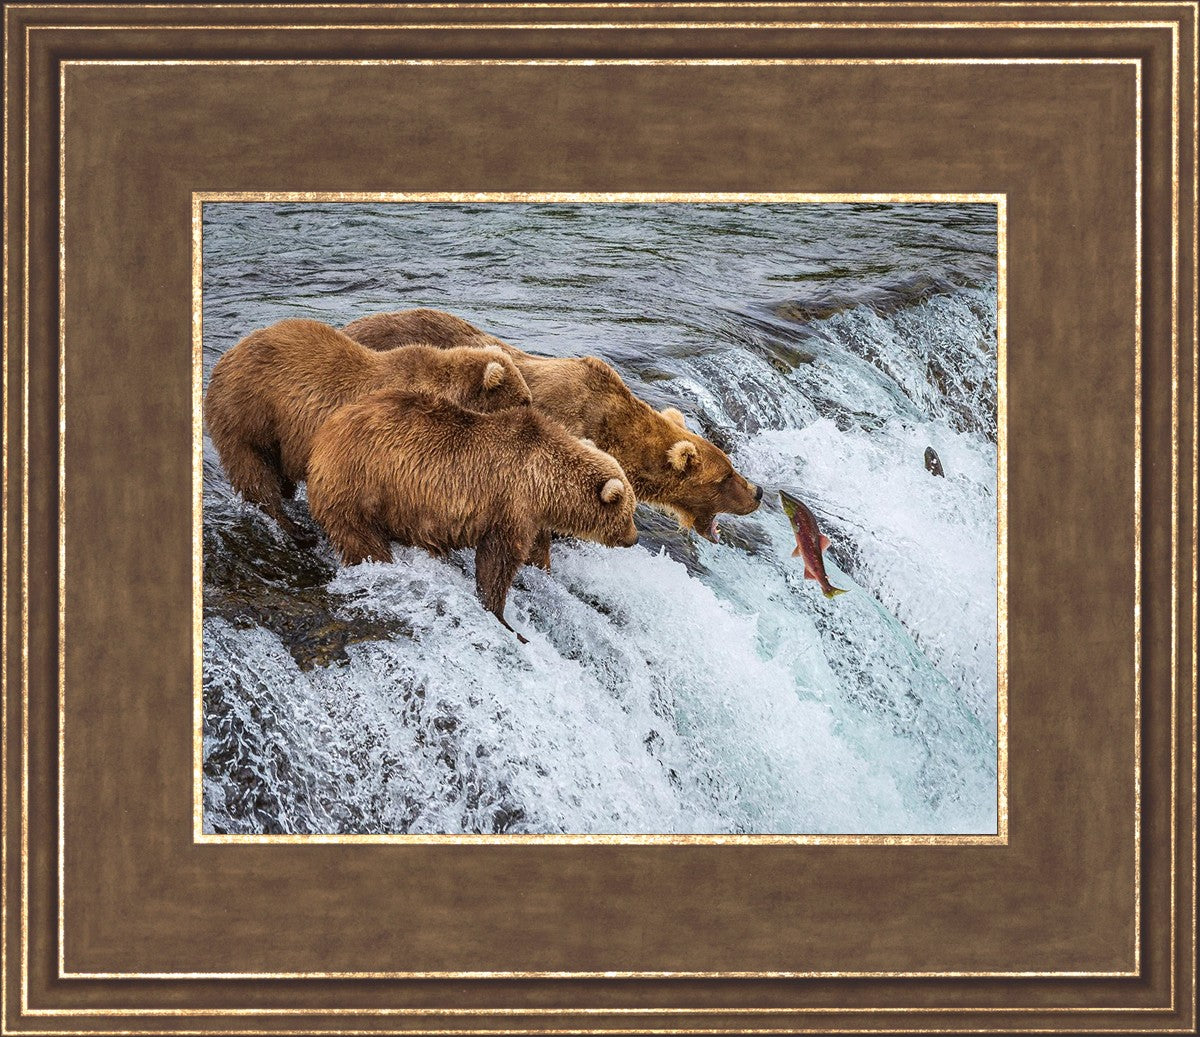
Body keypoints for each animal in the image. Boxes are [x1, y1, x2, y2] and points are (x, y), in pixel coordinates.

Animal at [204, 317, 532, 543]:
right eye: (524, 400)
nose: (533, 412)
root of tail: (226, 357)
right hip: (250, 413)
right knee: (254, 471)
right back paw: (293, 528)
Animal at [306, 388, 640, 641]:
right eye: (629, 512)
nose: (634, 538)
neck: (545, 483)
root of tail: (324, 434)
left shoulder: (532, 516)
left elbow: (535, 550)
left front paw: (542, 571)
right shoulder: (510, 503)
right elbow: (498, 561)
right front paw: (502, 616)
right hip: (361, 485)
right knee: (361, 539)